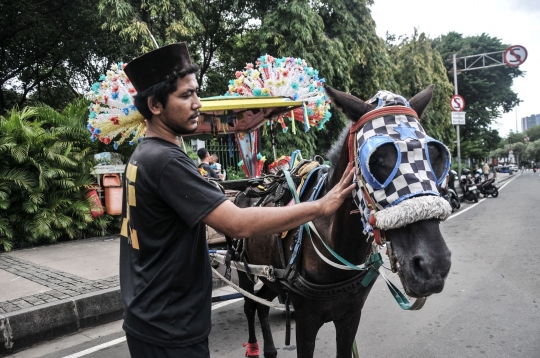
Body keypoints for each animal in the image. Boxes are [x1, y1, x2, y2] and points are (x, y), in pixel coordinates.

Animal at [232, 85, 452, 356]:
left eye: (435, 157)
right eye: (375, 160)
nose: (433, 266)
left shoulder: (350, 315)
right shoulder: (306, 319)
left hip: (270, 276)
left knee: (261, 304)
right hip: (243, 269)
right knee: (250, 305)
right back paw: (253, 346)